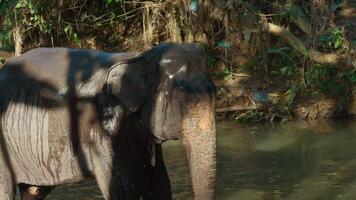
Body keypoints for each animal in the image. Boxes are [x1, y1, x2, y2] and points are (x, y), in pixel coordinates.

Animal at [0, 43, 217, 199]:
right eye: (182, 96)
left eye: (214, 91)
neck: (140, 58)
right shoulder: (102, 128)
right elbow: (121, 188)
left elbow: (160, 183)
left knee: (34, 191)